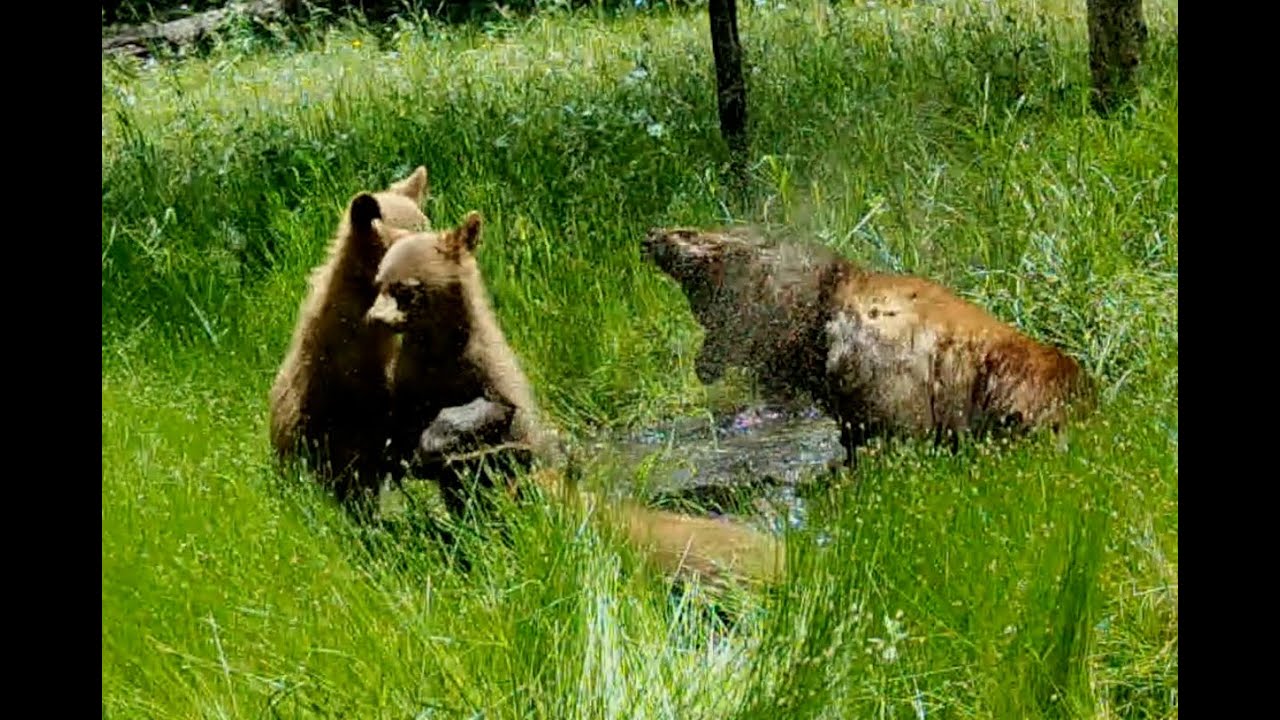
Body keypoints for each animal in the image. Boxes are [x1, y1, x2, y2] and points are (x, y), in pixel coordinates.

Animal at [363, 212, 785, 590]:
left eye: (406, 289)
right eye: (379, 282)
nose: (375, 319)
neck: (439, 357)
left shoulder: (489, 374)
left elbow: (495, 412)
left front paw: (437, 438)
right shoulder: (410, 381)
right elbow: (399, 424)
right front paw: (400, 454)